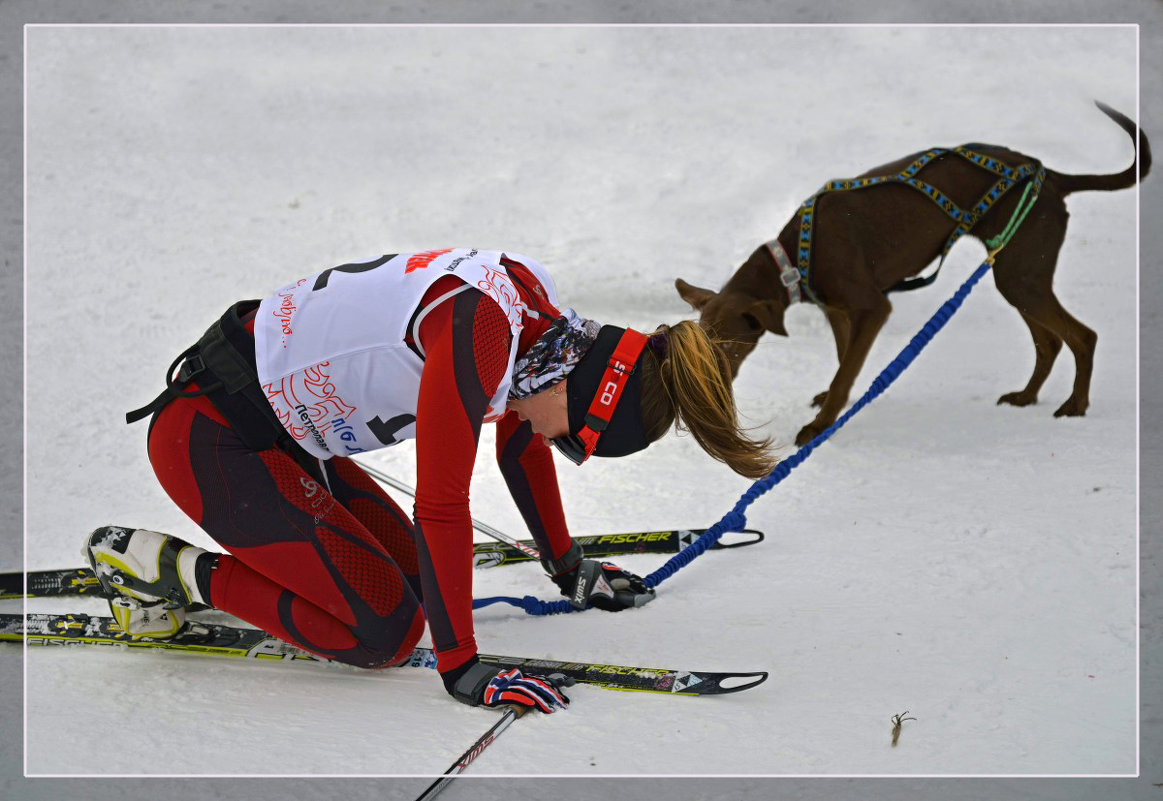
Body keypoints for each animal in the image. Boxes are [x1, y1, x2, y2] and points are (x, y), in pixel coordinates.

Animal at [679, 101, 1149, 444]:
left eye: (727, 347)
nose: (706, 394)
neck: (793, 259)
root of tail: (1051, 178)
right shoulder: (840, 311)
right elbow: (844, 361)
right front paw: (833, 401)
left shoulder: (872, 307)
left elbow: (846, 371)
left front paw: (820, 425)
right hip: (1015, 271)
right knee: (1049, 340)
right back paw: (1026, 396)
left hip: (1021, 273)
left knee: (1083, 336)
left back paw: (1075, 405)